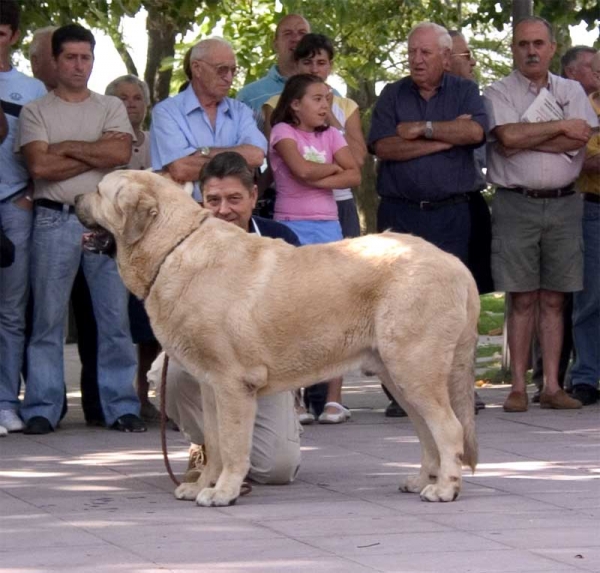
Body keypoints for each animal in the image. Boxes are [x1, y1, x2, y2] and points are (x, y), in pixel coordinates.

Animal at [75, 169, 480, 504]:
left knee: (448, 427)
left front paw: (223, 492)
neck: (173, 247)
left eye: (98, 191)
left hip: (414, 368)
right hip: (398, 375)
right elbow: (215, 441)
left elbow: (233, 444)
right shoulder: (210, 384)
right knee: (427, 430)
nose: (74, 199)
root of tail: (457, 264)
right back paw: (422, 480)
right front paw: (203, 484)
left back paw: (445, 489)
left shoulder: (232, 383)